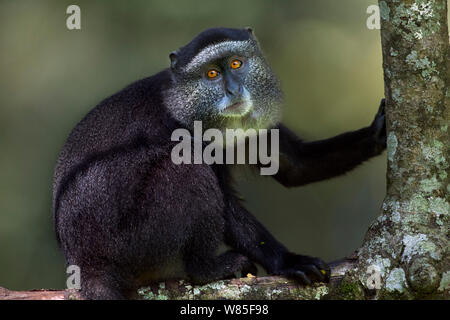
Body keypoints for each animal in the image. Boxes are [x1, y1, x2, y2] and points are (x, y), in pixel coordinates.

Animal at [52, 27, 386, 300]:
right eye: (211, 74)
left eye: (236, 64)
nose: (233, 90)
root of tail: (84, 262)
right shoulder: (183, 129)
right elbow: (225, 203)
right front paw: (289, 262)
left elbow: (295, 165)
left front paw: (377, 132)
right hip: (124, 239)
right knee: (185, 169)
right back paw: (206, 268)